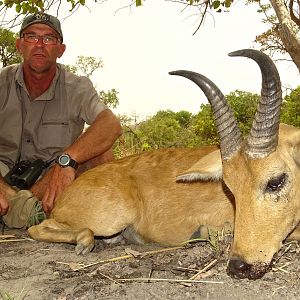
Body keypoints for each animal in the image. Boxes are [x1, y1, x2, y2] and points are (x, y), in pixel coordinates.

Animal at [27, 48, 300, 280]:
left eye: (276, 181)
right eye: (230, 190)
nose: (238, 266)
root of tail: (66, 193)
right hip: (110, 218)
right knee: (37, 228)